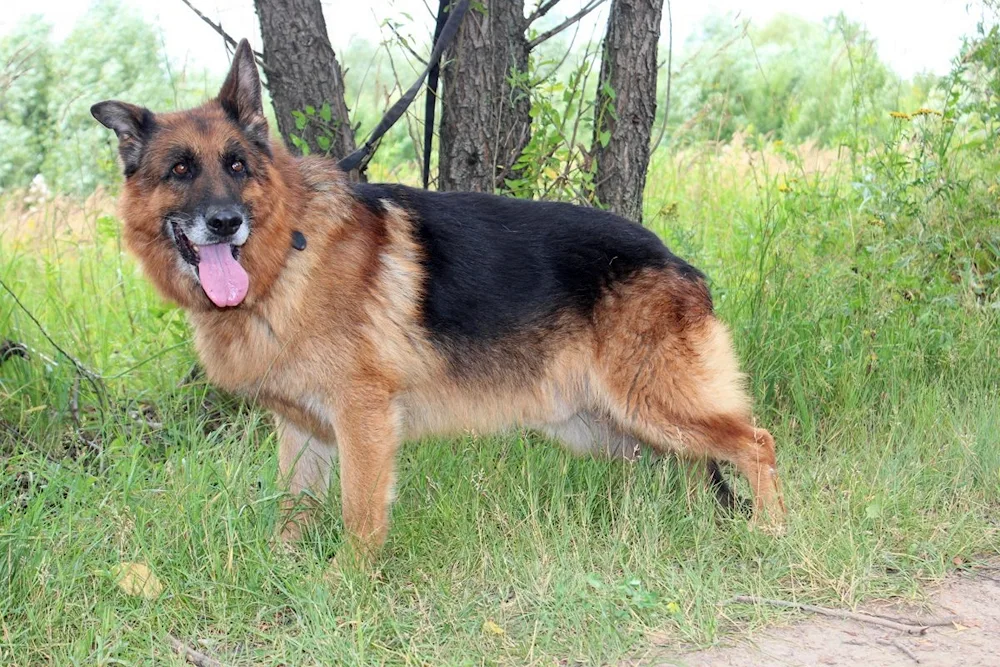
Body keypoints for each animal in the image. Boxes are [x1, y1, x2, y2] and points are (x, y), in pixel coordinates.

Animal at [90, 39, 784, 556]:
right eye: (180, 170)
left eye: (236, 165)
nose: (225, 223)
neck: (287, 258)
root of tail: (676, 261)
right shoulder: (303, 429)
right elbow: (292, 509)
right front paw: (286, 577)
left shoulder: (363, 419)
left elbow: (360, 516)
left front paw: (349, 588)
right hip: (605, 425)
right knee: (695, 465)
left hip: (649, 401)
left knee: (755, 442)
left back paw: (769, 532)